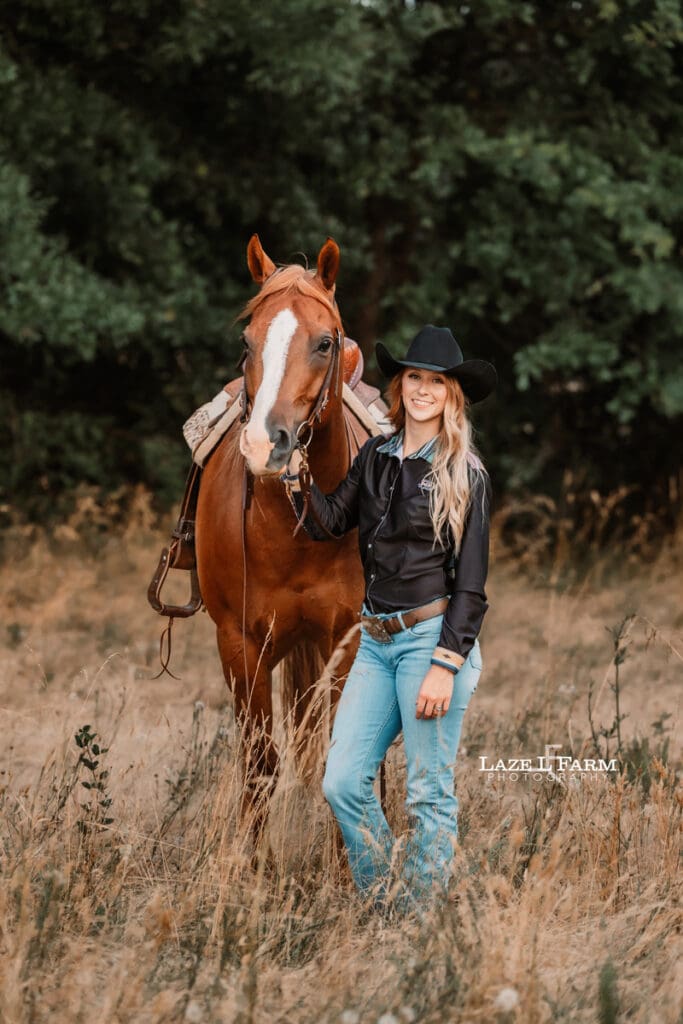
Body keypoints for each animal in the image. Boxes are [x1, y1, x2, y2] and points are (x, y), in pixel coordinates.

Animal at [195, 235, 368, 820]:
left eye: (324, 343)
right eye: (247, 343)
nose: (263, 445)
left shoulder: (349, 640)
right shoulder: (239, 644)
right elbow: (260, 769)